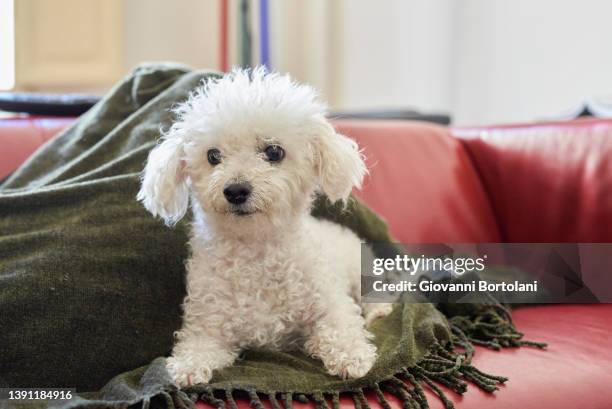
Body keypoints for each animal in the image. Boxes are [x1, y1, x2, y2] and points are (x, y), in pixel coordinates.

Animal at [138, 67, 390, 386]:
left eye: (273, 152)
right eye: (213, 156)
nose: (235, 190)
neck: (255, 250)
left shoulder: (331, 303)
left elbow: (340, 327)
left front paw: (352, 357)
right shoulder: (209, 325)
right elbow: (197, 346)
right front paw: (187, 367)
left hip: (361, 269)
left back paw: (379, 311)